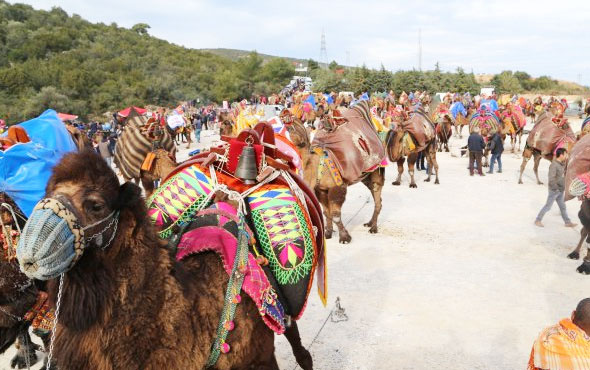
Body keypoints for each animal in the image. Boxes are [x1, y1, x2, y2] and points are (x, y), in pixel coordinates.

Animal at [284, 112, 386, 246]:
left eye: (297, 121)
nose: (285, 114)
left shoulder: (337, 187)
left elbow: (335, 214)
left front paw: (344, 238)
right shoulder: (321, 189)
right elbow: (326, 212)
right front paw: (328, 233)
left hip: (376, 172)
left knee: (377, 195)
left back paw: (373, 228)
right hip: (365, 177)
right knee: (377, 196)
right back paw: (369, 223)